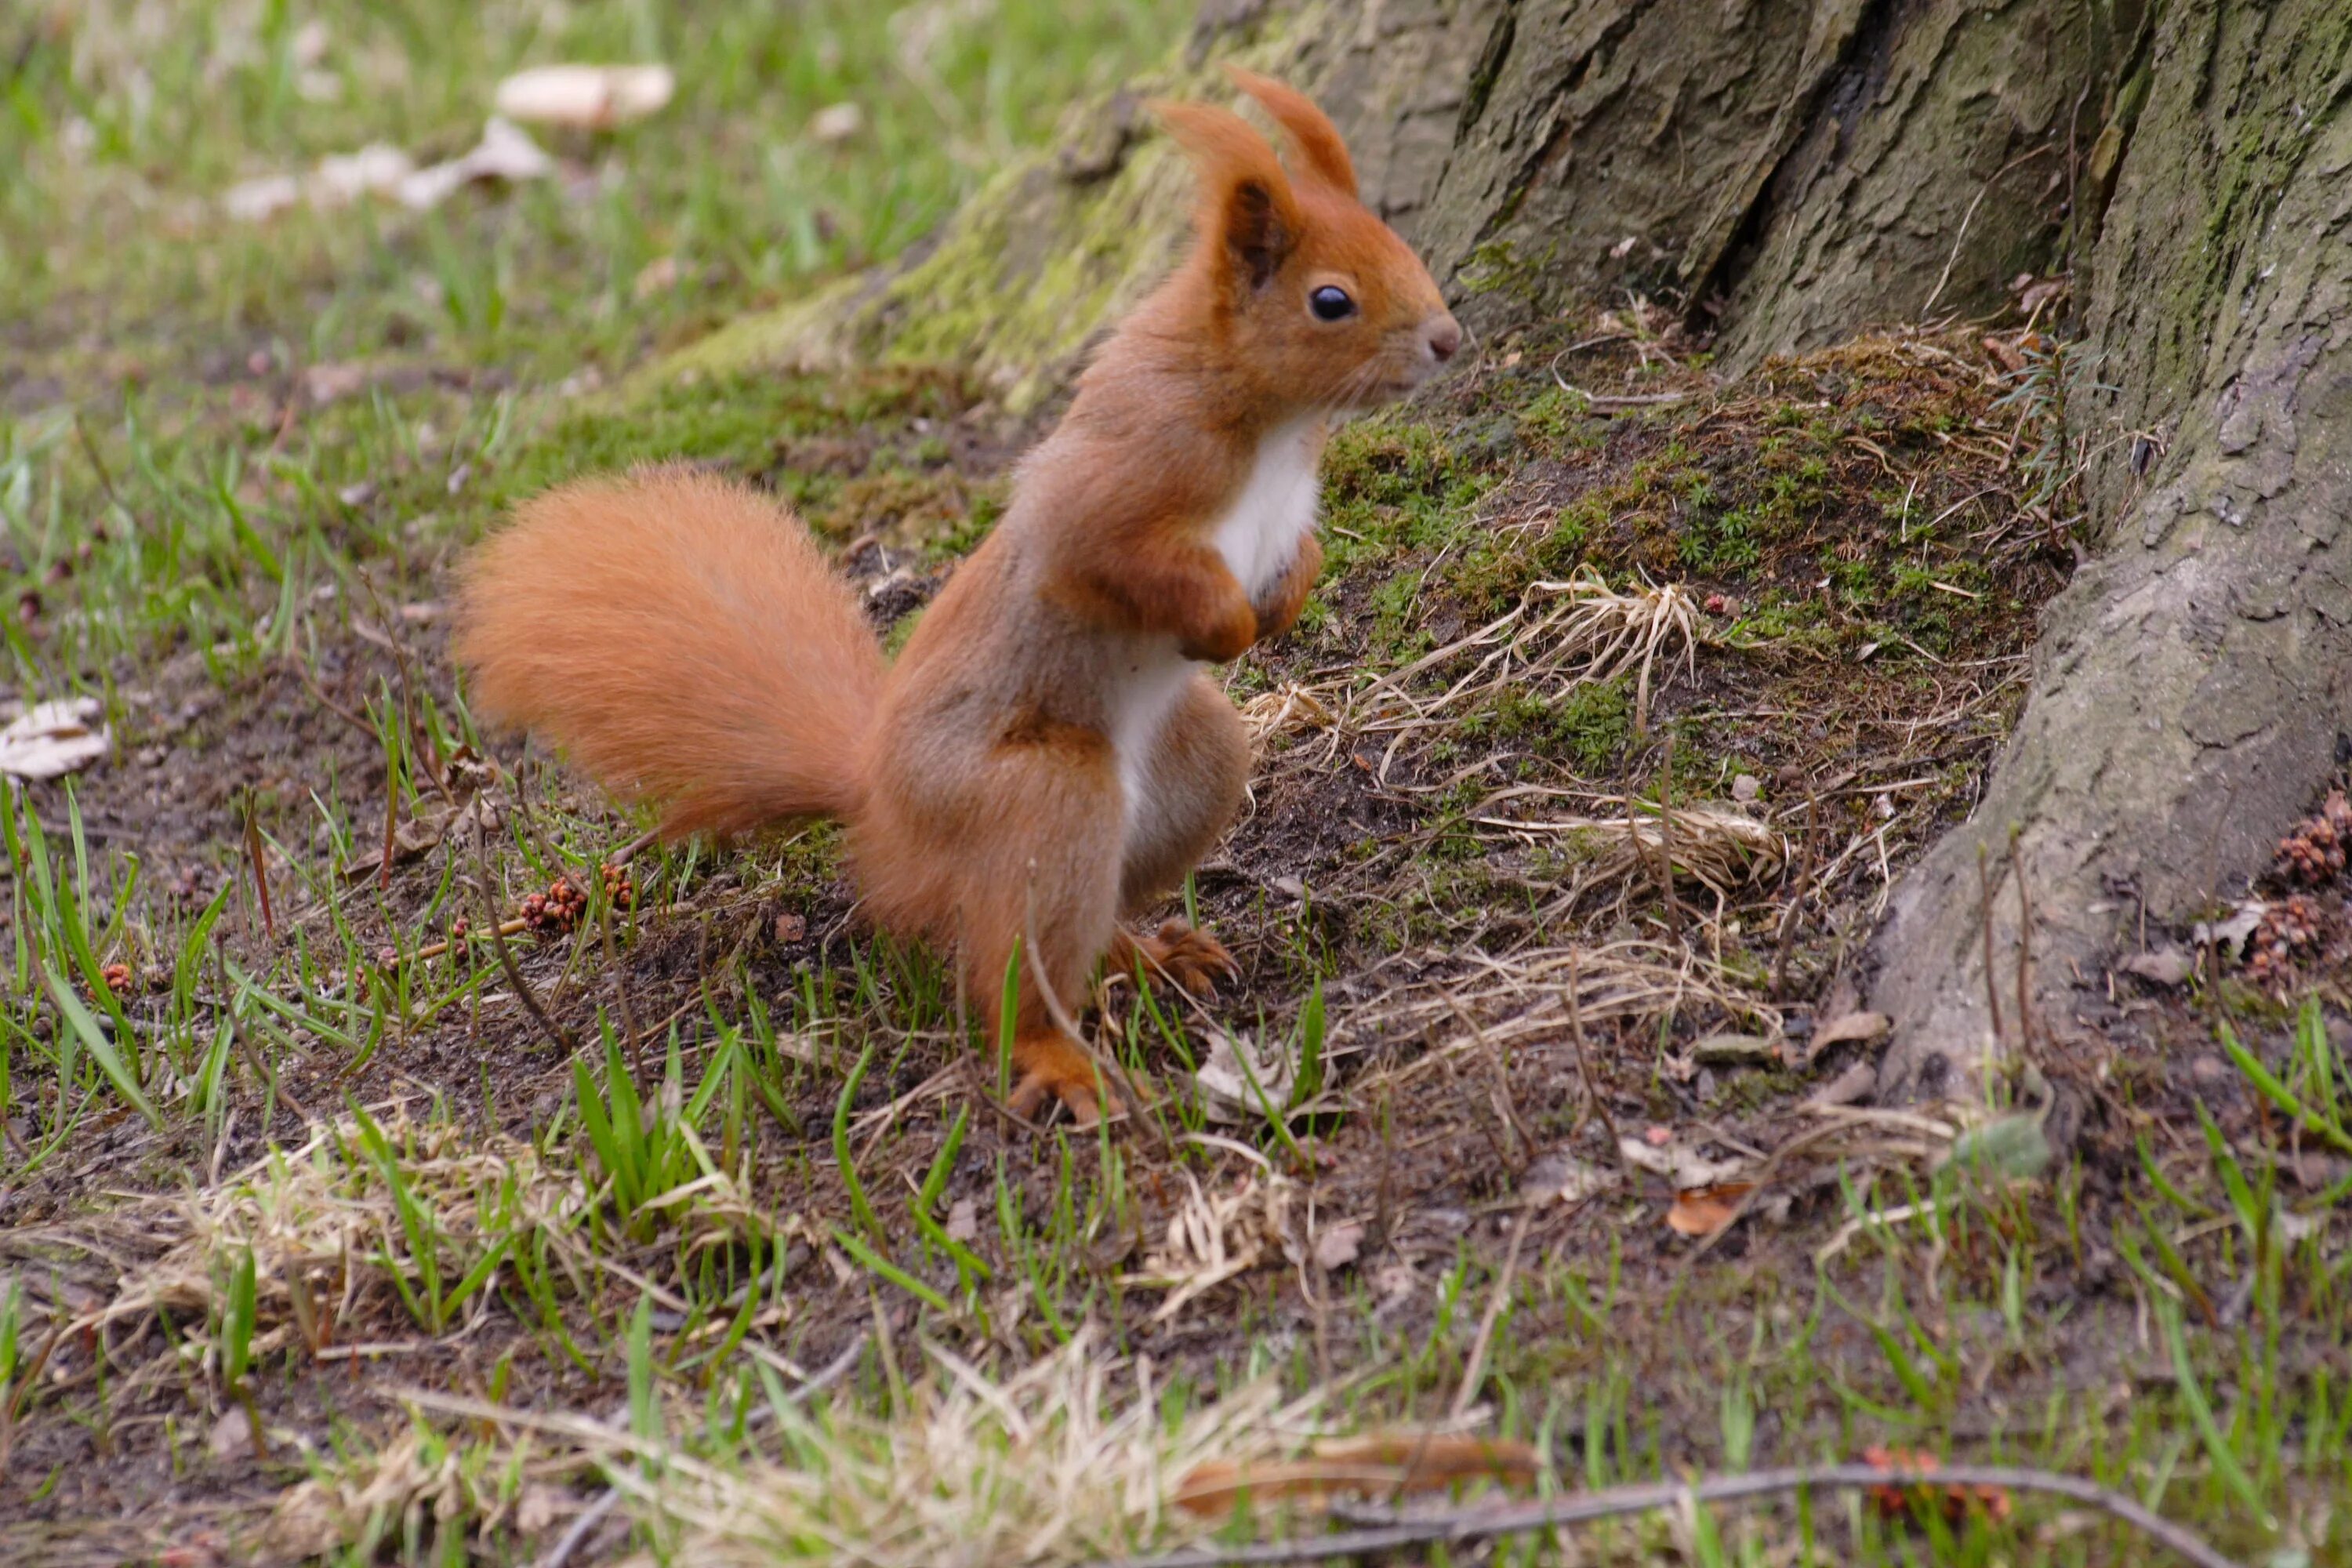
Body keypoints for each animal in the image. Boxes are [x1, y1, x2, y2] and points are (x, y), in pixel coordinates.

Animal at [452, 70, 1458, 1128]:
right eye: (1331, 300)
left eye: (1402, 248)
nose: (1449, 338)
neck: (1271, 422)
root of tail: (879, 801)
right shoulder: (1112, 487)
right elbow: (1107, 560)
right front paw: (1225, 625)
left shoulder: (1282, 514)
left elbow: (1300, 555)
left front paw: (1280, 608)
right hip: (1041, 795)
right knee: (1009, 973)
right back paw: (1062, 1059)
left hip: (1194, 766)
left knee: (1083, 915)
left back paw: (1145, 950)